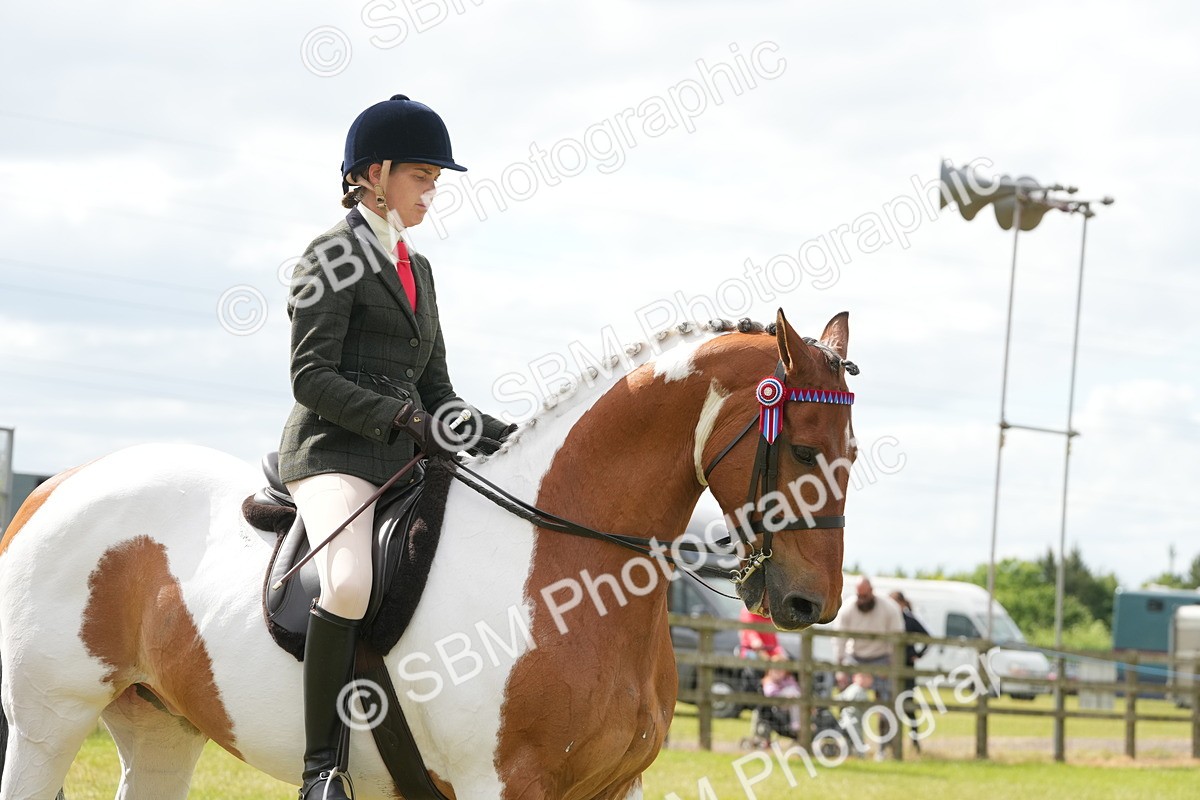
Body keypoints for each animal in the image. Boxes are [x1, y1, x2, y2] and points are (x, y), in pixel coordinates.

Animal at [0, 309, 855, 799]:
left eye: (851, 450)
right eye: (803, 450)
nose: (811, 604)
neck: (563, 564)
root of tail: (54, 486)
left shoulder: (618, 787)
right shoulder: (500, 785)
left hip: (160, 727)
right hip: (48, 723)